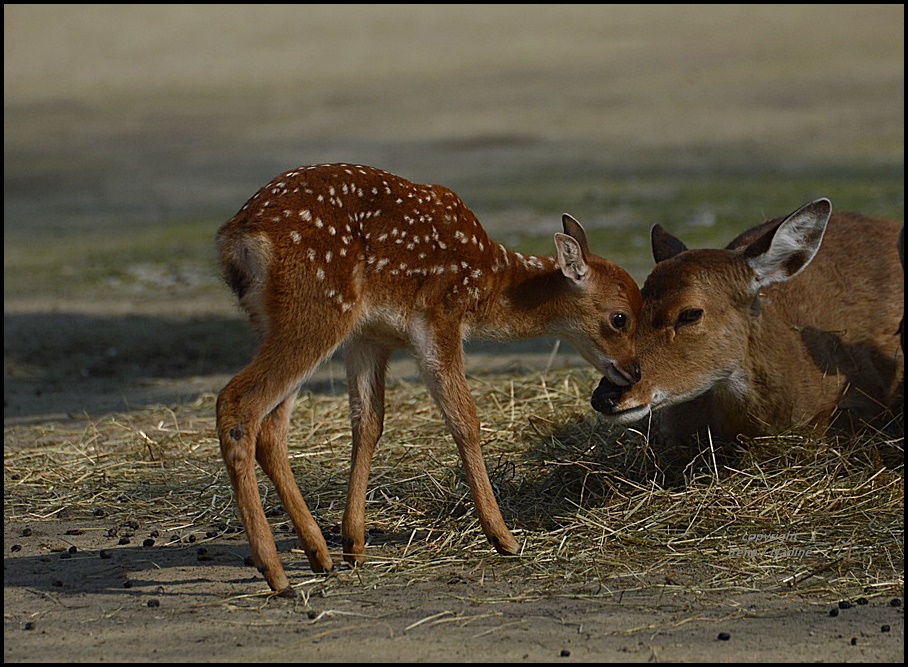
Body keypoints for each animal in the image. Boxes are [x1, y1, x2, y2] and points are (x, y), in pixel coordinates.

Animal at [216, 162, 640, 596]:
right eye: (619, 318)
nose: (634, 371)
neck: (486, 284)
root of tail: (239, 236)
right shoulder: (439, 316)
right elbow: (465, 420)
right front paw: (503, 537)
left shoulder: (370, 338)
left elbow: (369, 423)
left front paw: (354, 544)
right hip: (317, 307)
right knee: (237, 403)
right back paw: (275, 572)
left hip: (284, 322)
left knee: (272, 427)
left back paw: (318, 553)